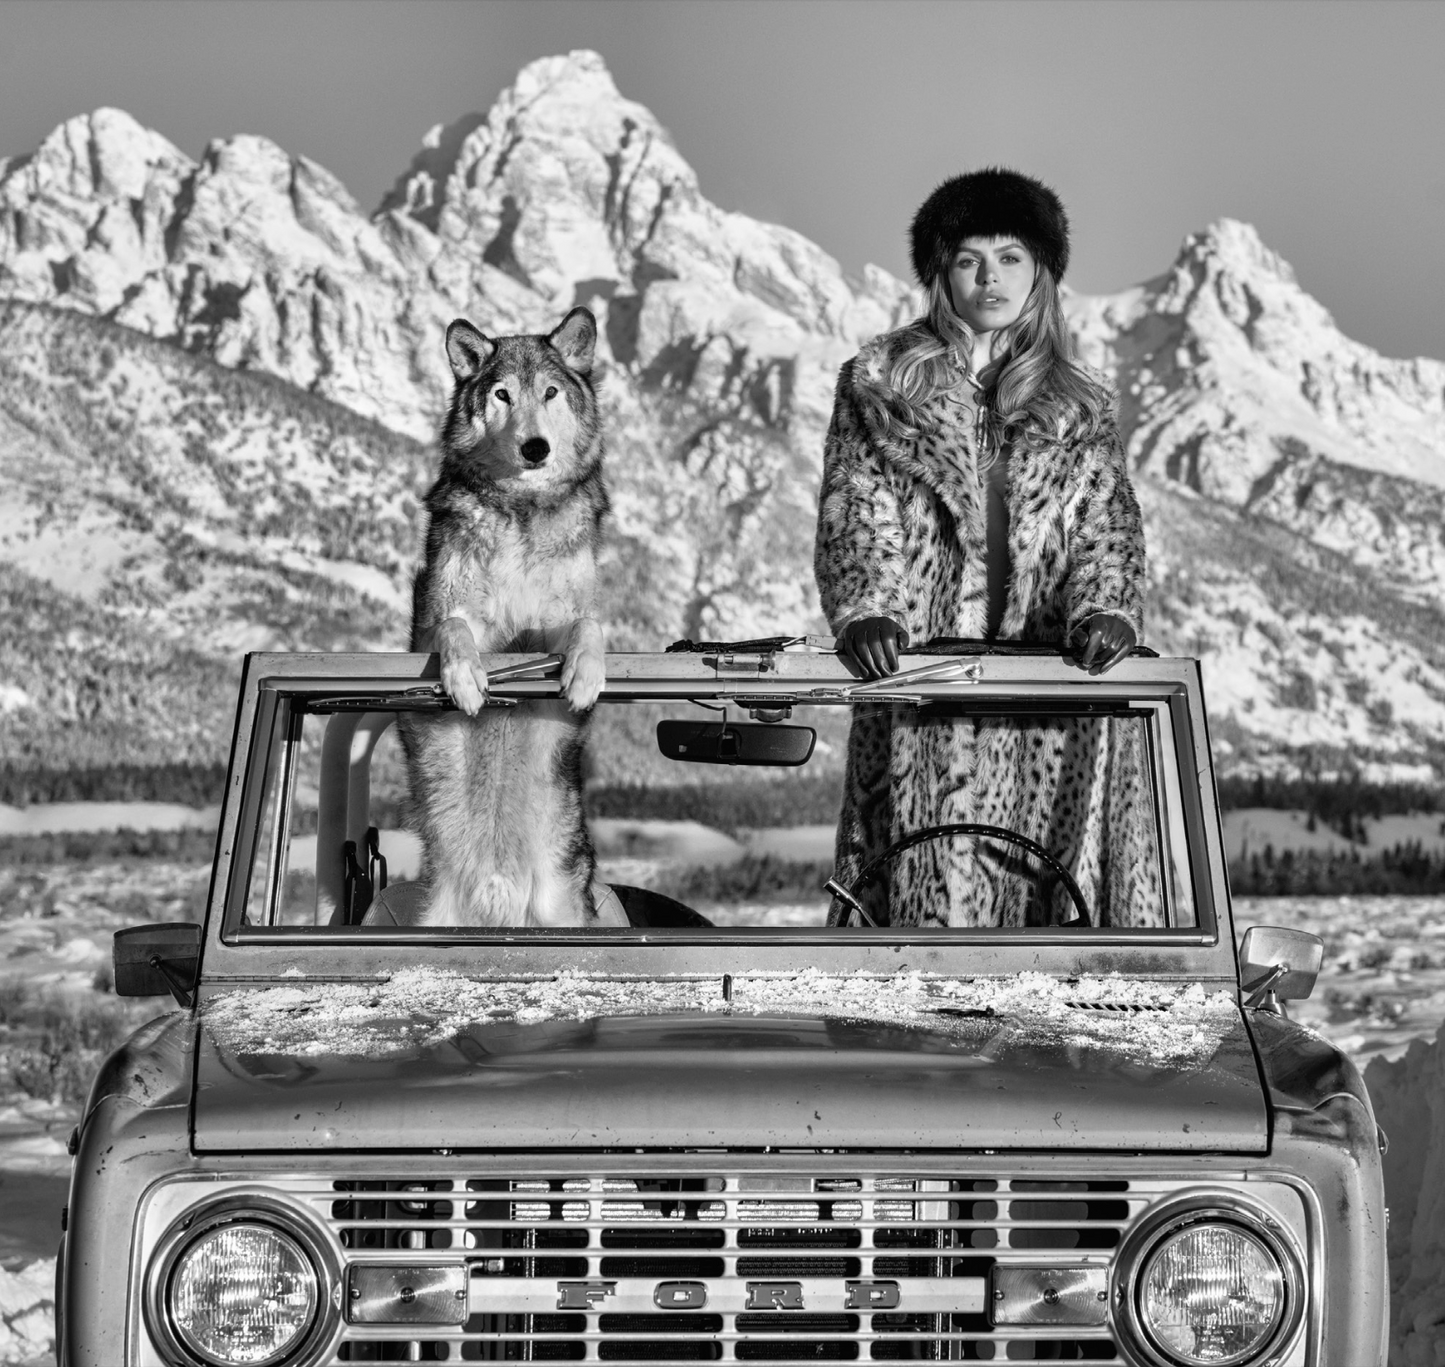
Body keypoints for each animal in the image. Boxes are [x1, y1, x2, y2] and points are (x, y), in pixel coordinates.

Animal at [398, 307, 612, 924]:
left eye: (550, 393)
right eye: (501, 395)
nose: (535, 448)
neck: (520, 512)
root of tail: (500, 894)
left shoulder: (563, 618)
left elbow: (590, 624)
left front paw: (584, 677)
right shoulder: (434, 617)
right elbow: (453, 628)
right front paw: (466, 680)